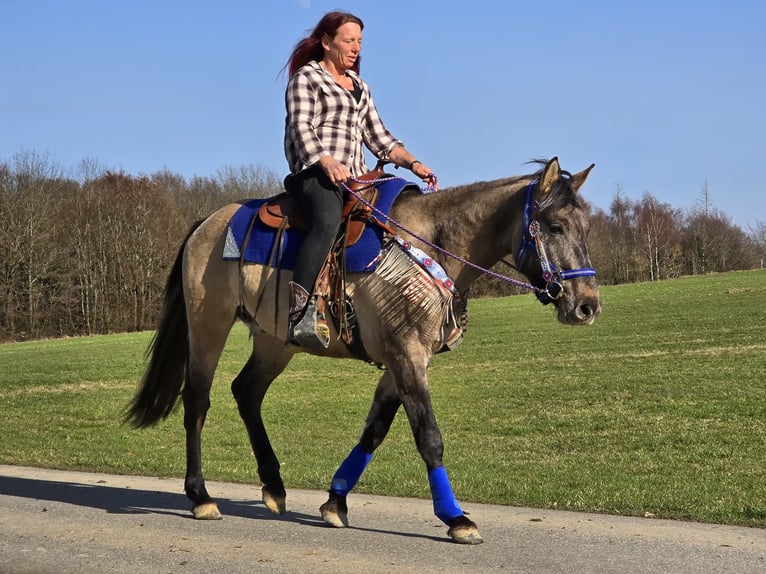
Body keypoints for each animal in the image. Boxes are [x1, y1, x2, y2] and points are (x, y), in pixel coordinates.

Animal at [125, 157, 601, 545]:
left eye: (586, 229)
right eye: (555, 227)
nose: (587, 305)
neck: (428, 246)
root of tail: (206, 223)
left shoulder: (403, 360)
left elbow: (374, 431)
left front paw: (335, 501)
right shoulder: (407, 356)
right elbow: (429, 438)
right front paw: (455, 518)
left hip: (274, 341)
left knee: (246, 392)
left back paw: (274, 487)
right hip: (209, 326)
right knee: (197, 401)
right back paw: (201, 496)